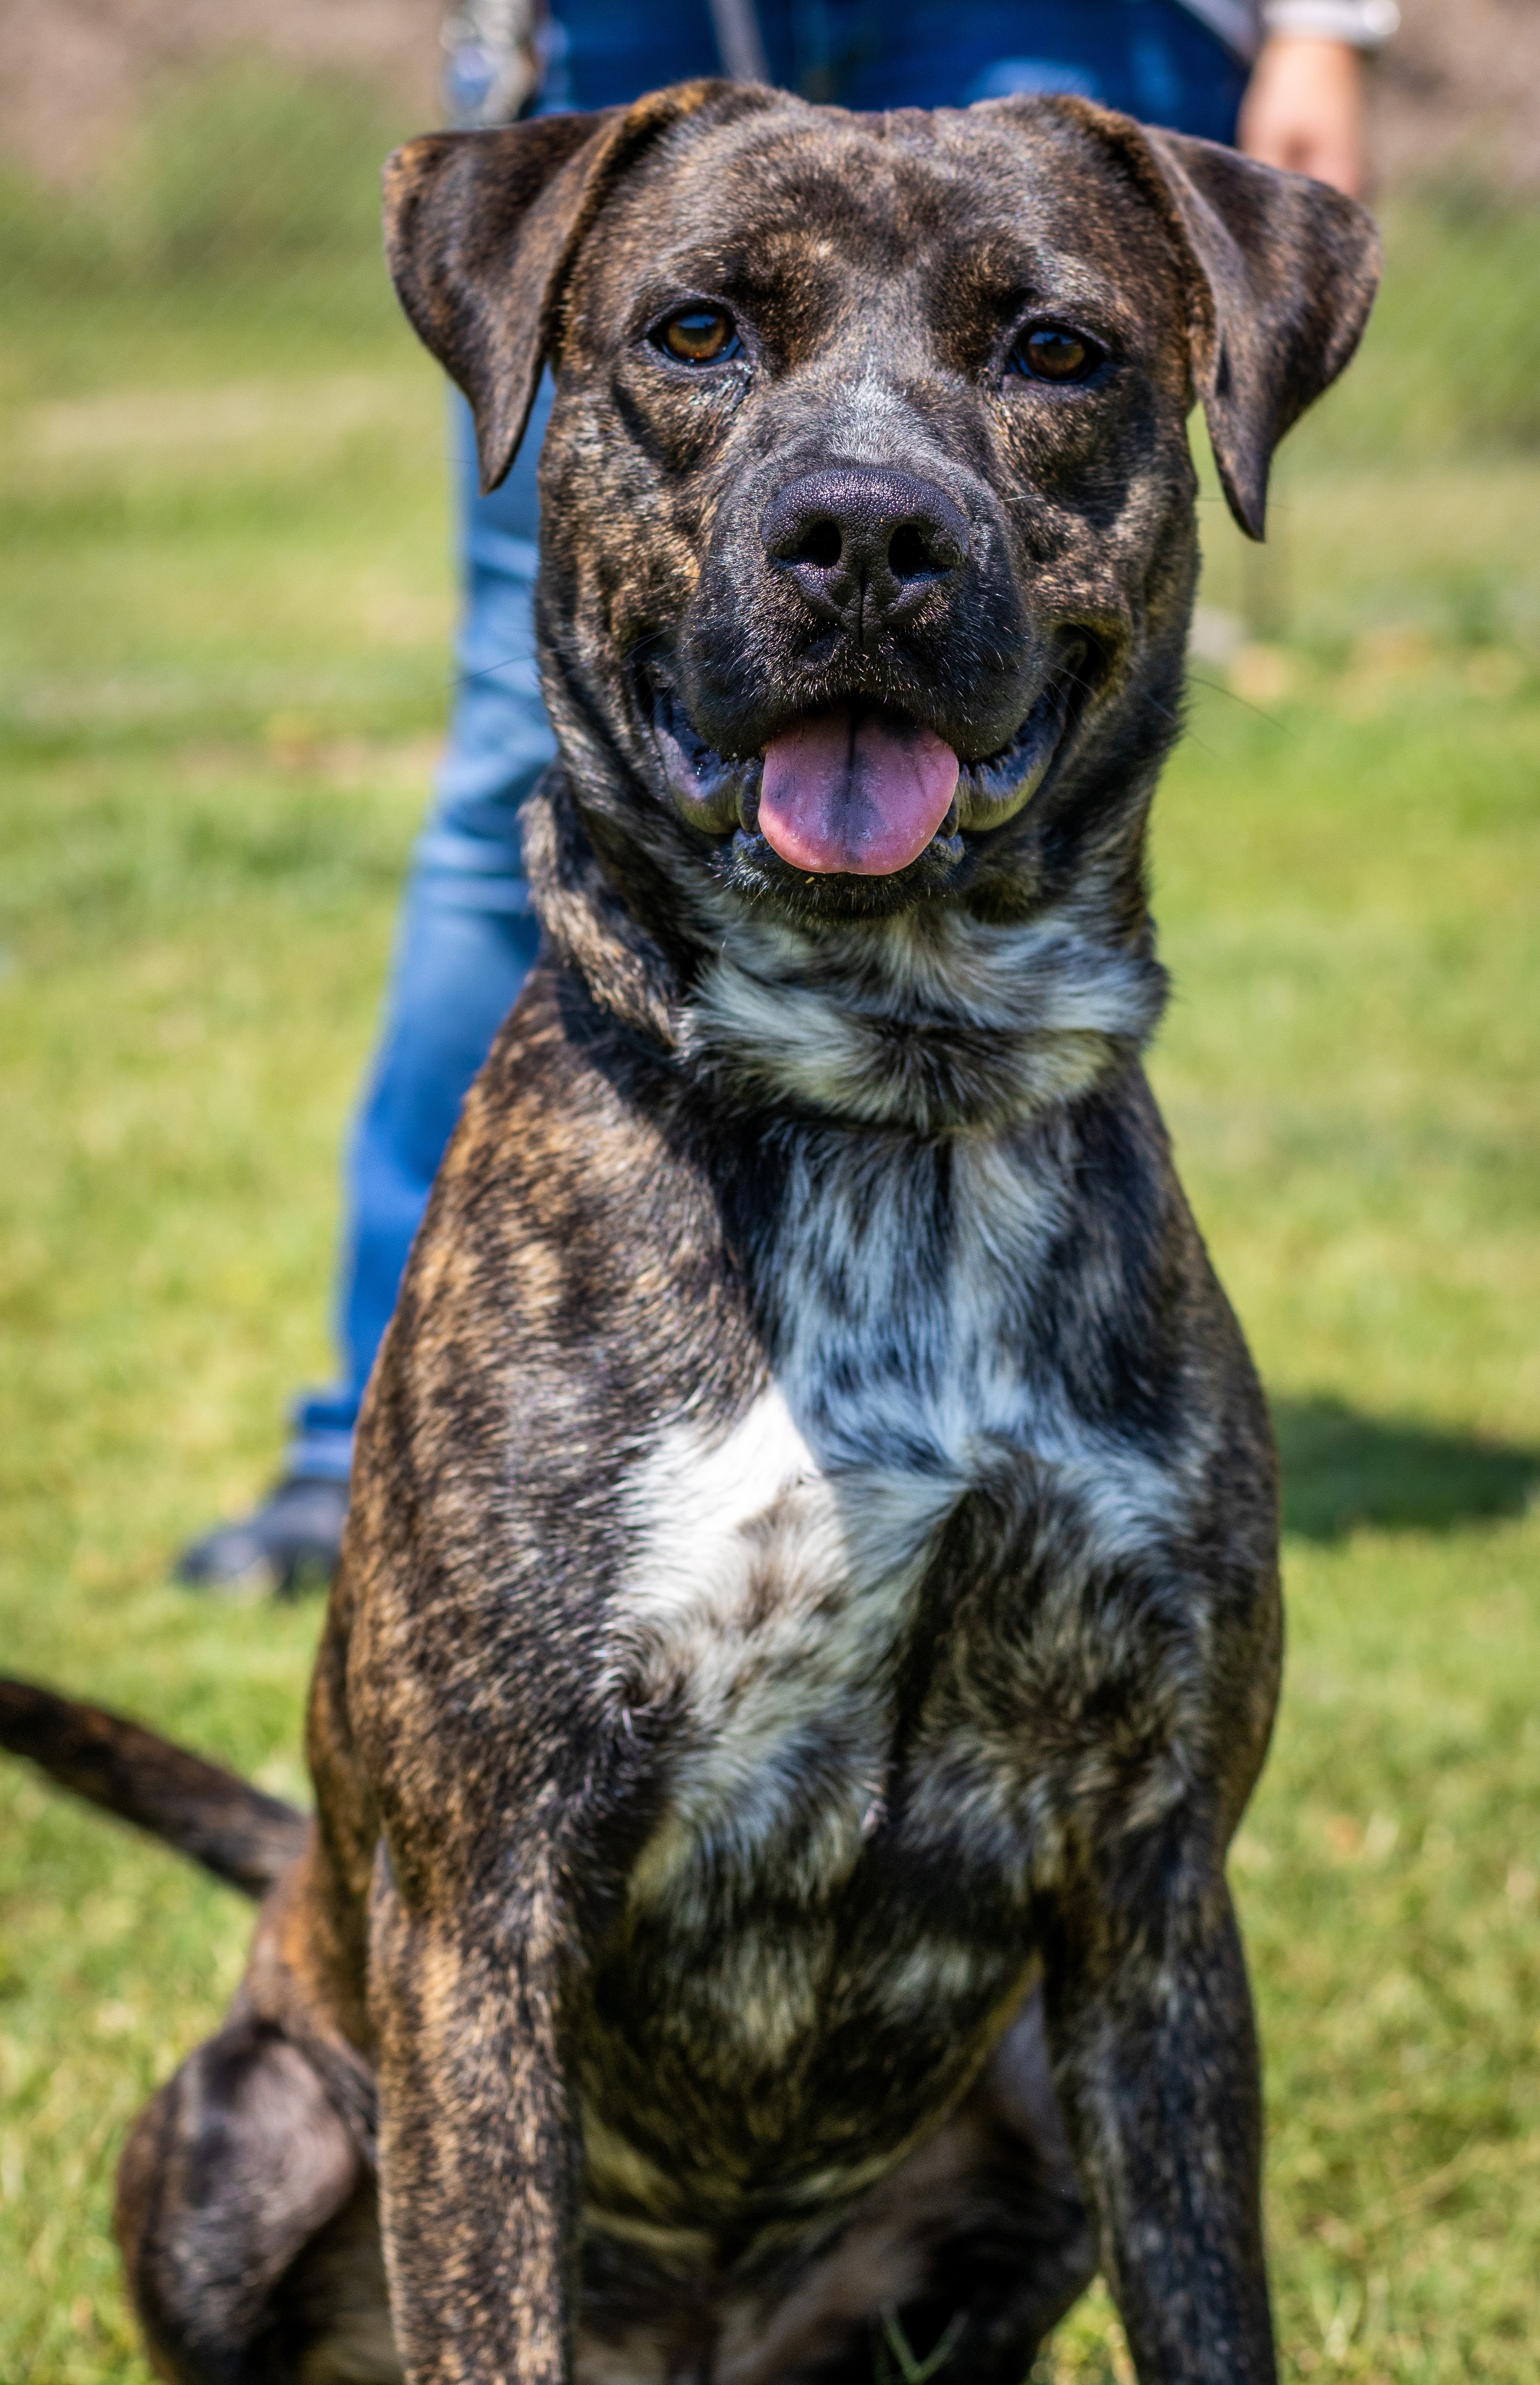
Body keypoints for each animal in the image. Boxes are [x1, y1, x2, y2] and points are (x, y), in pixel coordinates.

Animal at [0, 74, 1382, 2385]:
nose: (866, 535)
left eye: (1057, 350)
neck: (895, 1087)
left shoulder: (1155, 1891)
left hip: (1026, 2111)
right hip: (243, 2124)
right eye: (698, 332)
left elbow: (1212, 2302)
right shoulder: (490, 1904)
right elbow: (490, 2300)